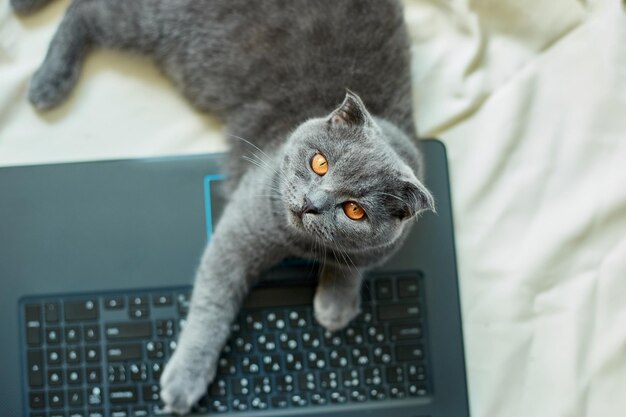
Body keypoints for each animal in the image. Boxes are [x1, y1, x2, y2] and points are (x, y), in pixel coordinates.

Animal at [13, 0, 434, 412]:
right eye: (320, 163)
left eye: (354, 210)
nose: (310, 204)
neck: (303, 244)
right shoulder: (241, 228)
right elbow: (212, 303)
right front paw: (185, 380)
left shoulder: (382, 244)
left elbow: (356, 262)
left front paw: (336, 303)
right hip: (151, 18)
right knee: (83, 11)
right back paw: (46, 81)